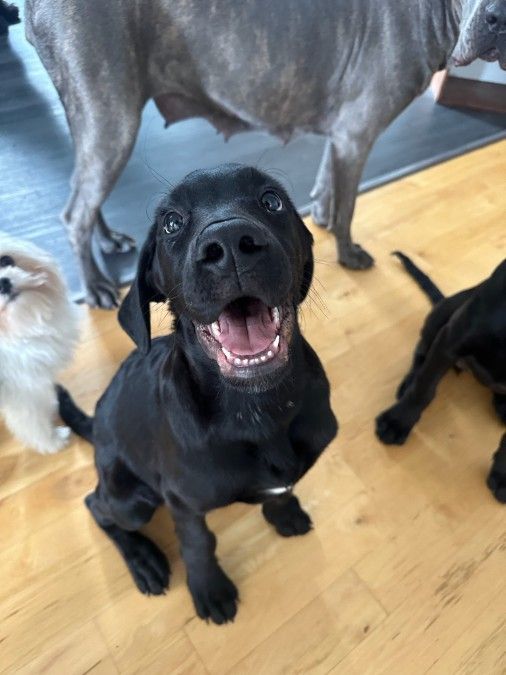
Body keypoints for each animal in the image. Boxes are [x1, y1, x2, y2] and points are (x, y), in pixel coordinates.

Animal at [25, 0, 506, 308]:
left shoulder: (342, 136)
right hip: (113, 118)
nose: (498, 18)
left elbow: (328, 185)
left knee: (84, 192)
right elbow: (348, 205)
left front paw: (322, 216)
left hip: (92, 118)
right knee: (75, 213)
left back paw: (107, 240)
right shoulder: (357, 134)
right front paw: (349, 253)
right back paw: (95, 285)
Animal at [58, 164, 336, 624]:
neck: (257, 410)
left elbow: (283, 488)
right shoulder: (182, 502)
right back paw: (144, 560)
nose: (231, 242)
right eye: (171, 223)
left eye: (272, 200)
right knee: (94, 505)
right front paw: (209, 589)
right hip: (130, 498)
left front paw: (284, 513)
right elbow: (198, 543)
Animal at [374, 254, 506, 502]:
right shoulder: (451, 338)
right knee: (421, 354)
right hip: (445, 311)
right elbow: (423, 388)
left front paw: (503, 476)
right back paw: (407, 383)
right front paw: (397, 421)